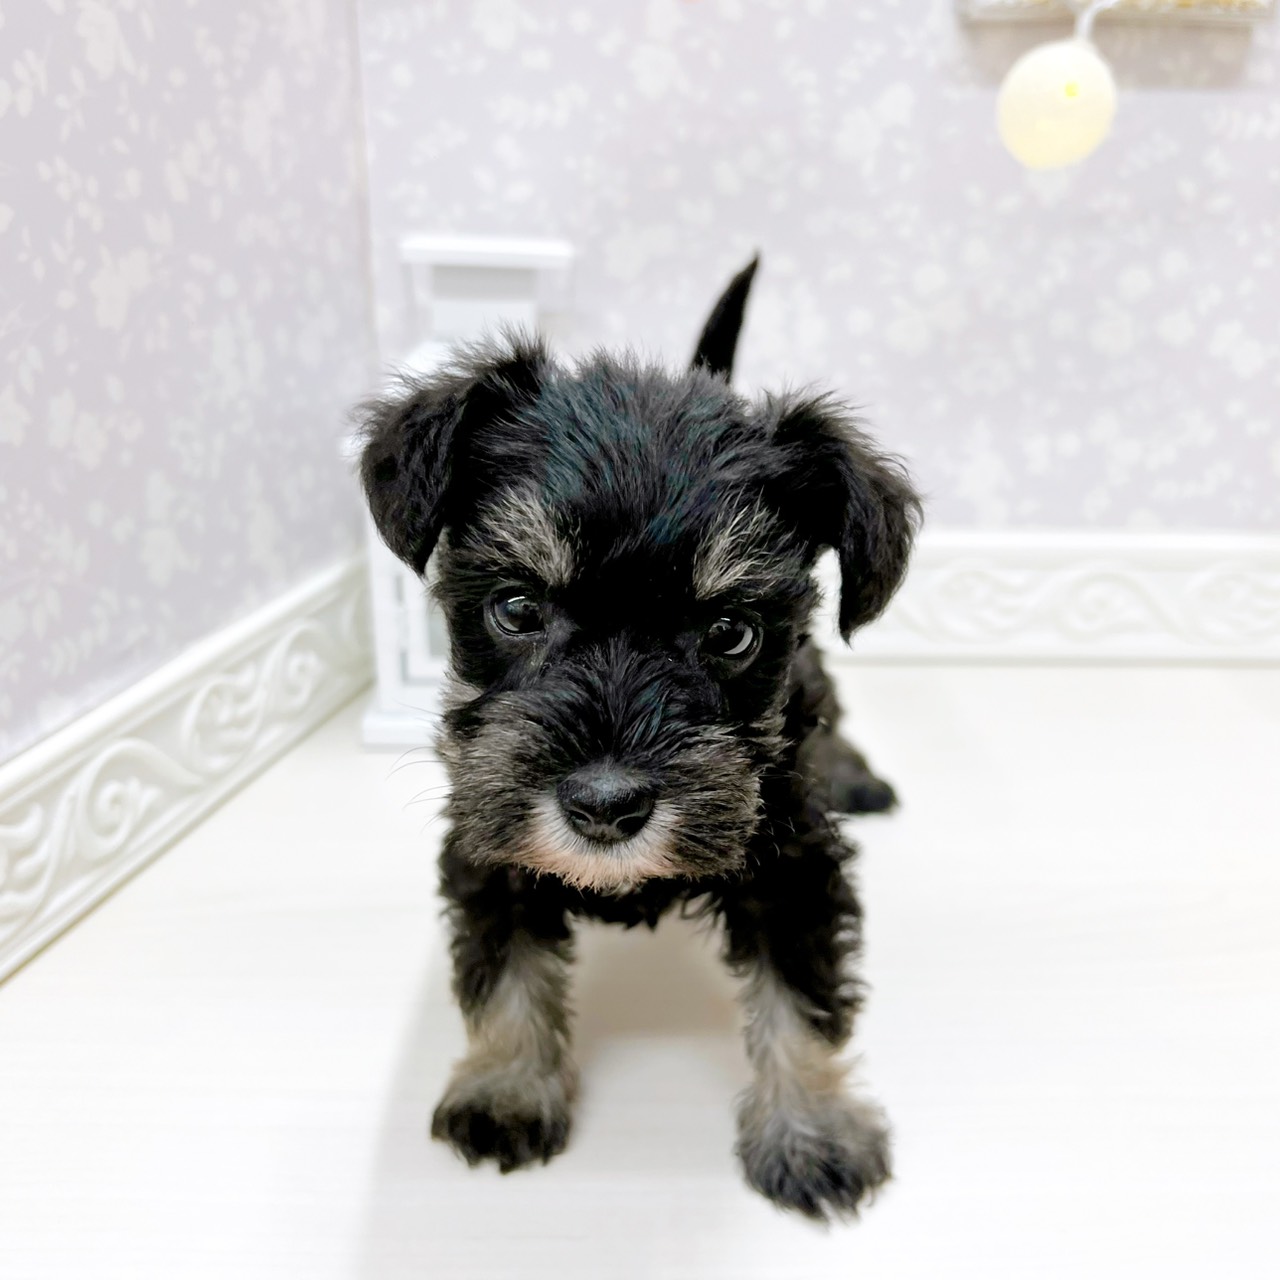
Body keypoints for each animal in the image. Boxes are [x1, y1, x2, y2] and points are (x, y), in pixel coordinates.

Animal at [355, 258, 921, 1221]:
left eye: (732, 632)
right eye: (516, 607)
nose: (605, 806)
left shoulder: (795, 872)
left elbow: (802, 997)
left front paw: (814, 1132)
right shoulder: (486, 851)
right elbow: (504, 974)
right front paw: (506, 1090)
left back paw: (854, 775)